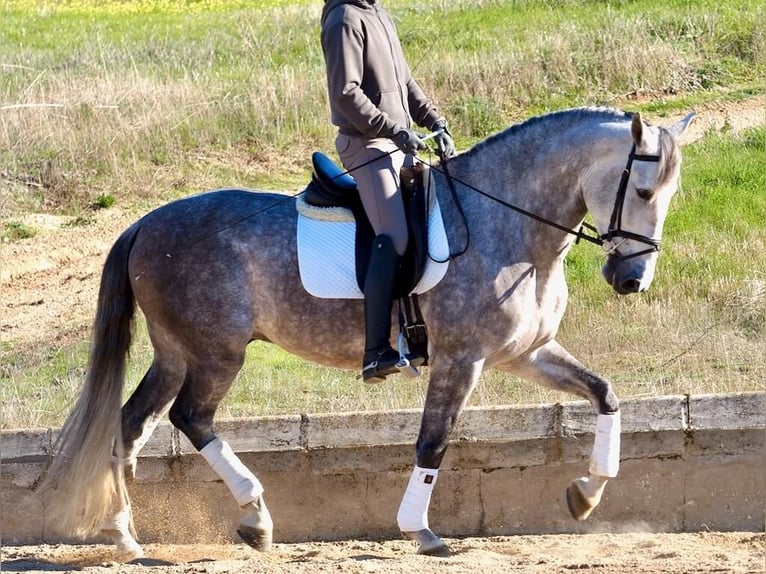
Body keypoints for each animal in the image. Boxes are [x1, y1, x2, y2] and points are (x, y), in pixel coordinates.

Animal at [39, 106, 696, 560]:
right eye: (641, 191)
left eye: (670, 195)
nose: (631, 280)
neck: (506, 223)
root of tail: (145, 224)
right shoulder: (461, 359)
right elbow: (432, 443)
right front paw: (421, 531)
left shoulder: (525, 354)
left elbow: (606, 394)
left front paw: (586, 493)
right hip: (216, 354)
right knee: (189, 418)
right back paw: (254, 518)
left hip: (176, 353)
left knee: (131, 424)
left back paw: (127, 538)